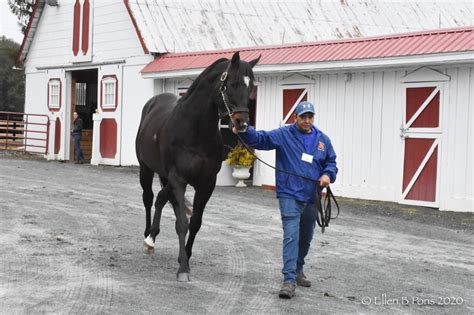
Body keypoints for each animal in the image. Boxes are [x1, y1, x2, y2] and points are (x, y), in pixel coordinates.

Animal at [135, 53, 262, 282]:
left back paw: (154, 235)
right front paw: (183, 269)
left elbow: (195, 222)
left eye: (251, 86)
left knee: (161, 198)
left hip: (166, 177)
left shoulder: (206, 184)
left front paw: (184, 257)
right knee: (149, 199)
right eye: (232, 83)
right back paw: (148, 238)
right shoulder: (178, 179)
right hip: (146, 169)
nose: (242, 123)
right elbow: (182, 223)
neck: (194, 130)